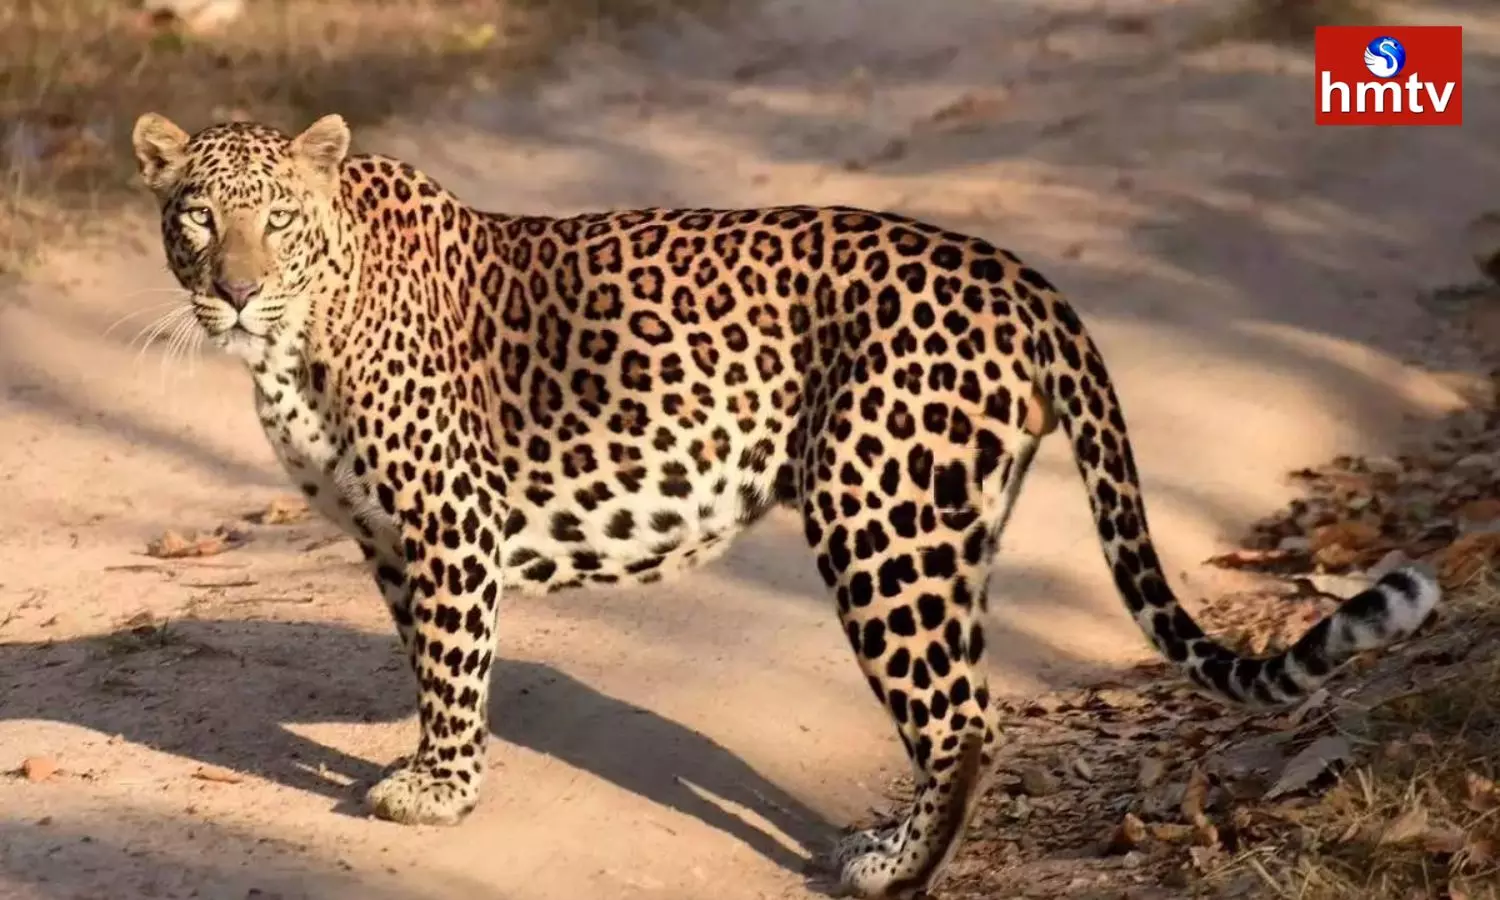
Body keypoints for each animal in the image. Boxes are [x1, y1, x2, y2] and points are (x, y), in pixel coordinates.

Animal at [129, 114, 1440, 900]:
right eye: (198, 216)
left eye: (274, 221)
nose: (234, 293)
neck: (299, 338)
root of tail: (1019, 277)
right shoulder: (392, 541)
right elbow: (423, 663)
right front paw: (427, 769)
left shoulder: (448, 525)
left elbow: (453, 668)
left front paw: (437, 795)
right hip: (950, 523)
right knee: (966, 698)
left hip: (877, 517)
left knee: (963, 719)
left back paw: (889, 868)